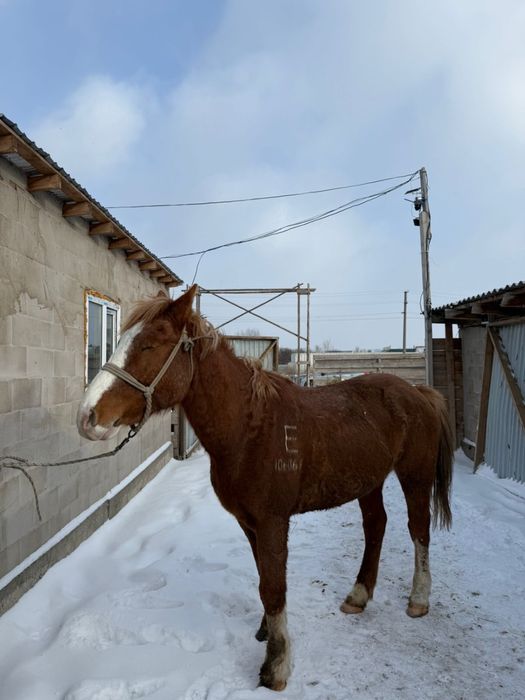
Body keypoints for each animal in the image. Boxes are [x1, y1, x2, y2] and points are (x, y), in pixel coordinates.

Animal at [77, 284, 453, 692]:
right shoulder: (249, 522)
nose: (87, 416)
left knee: (418, 529)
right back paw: (358, 595)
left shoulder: (273, 522)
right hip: (369, 481)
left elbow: (273, 587)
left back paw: (418, 598)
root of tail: (419, 392)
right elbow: (263, 578)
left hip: (414, 476)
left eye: (150, 344)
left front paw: (276, 665)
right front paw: (265, 632)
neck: (250, 428)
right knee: (376, 525)